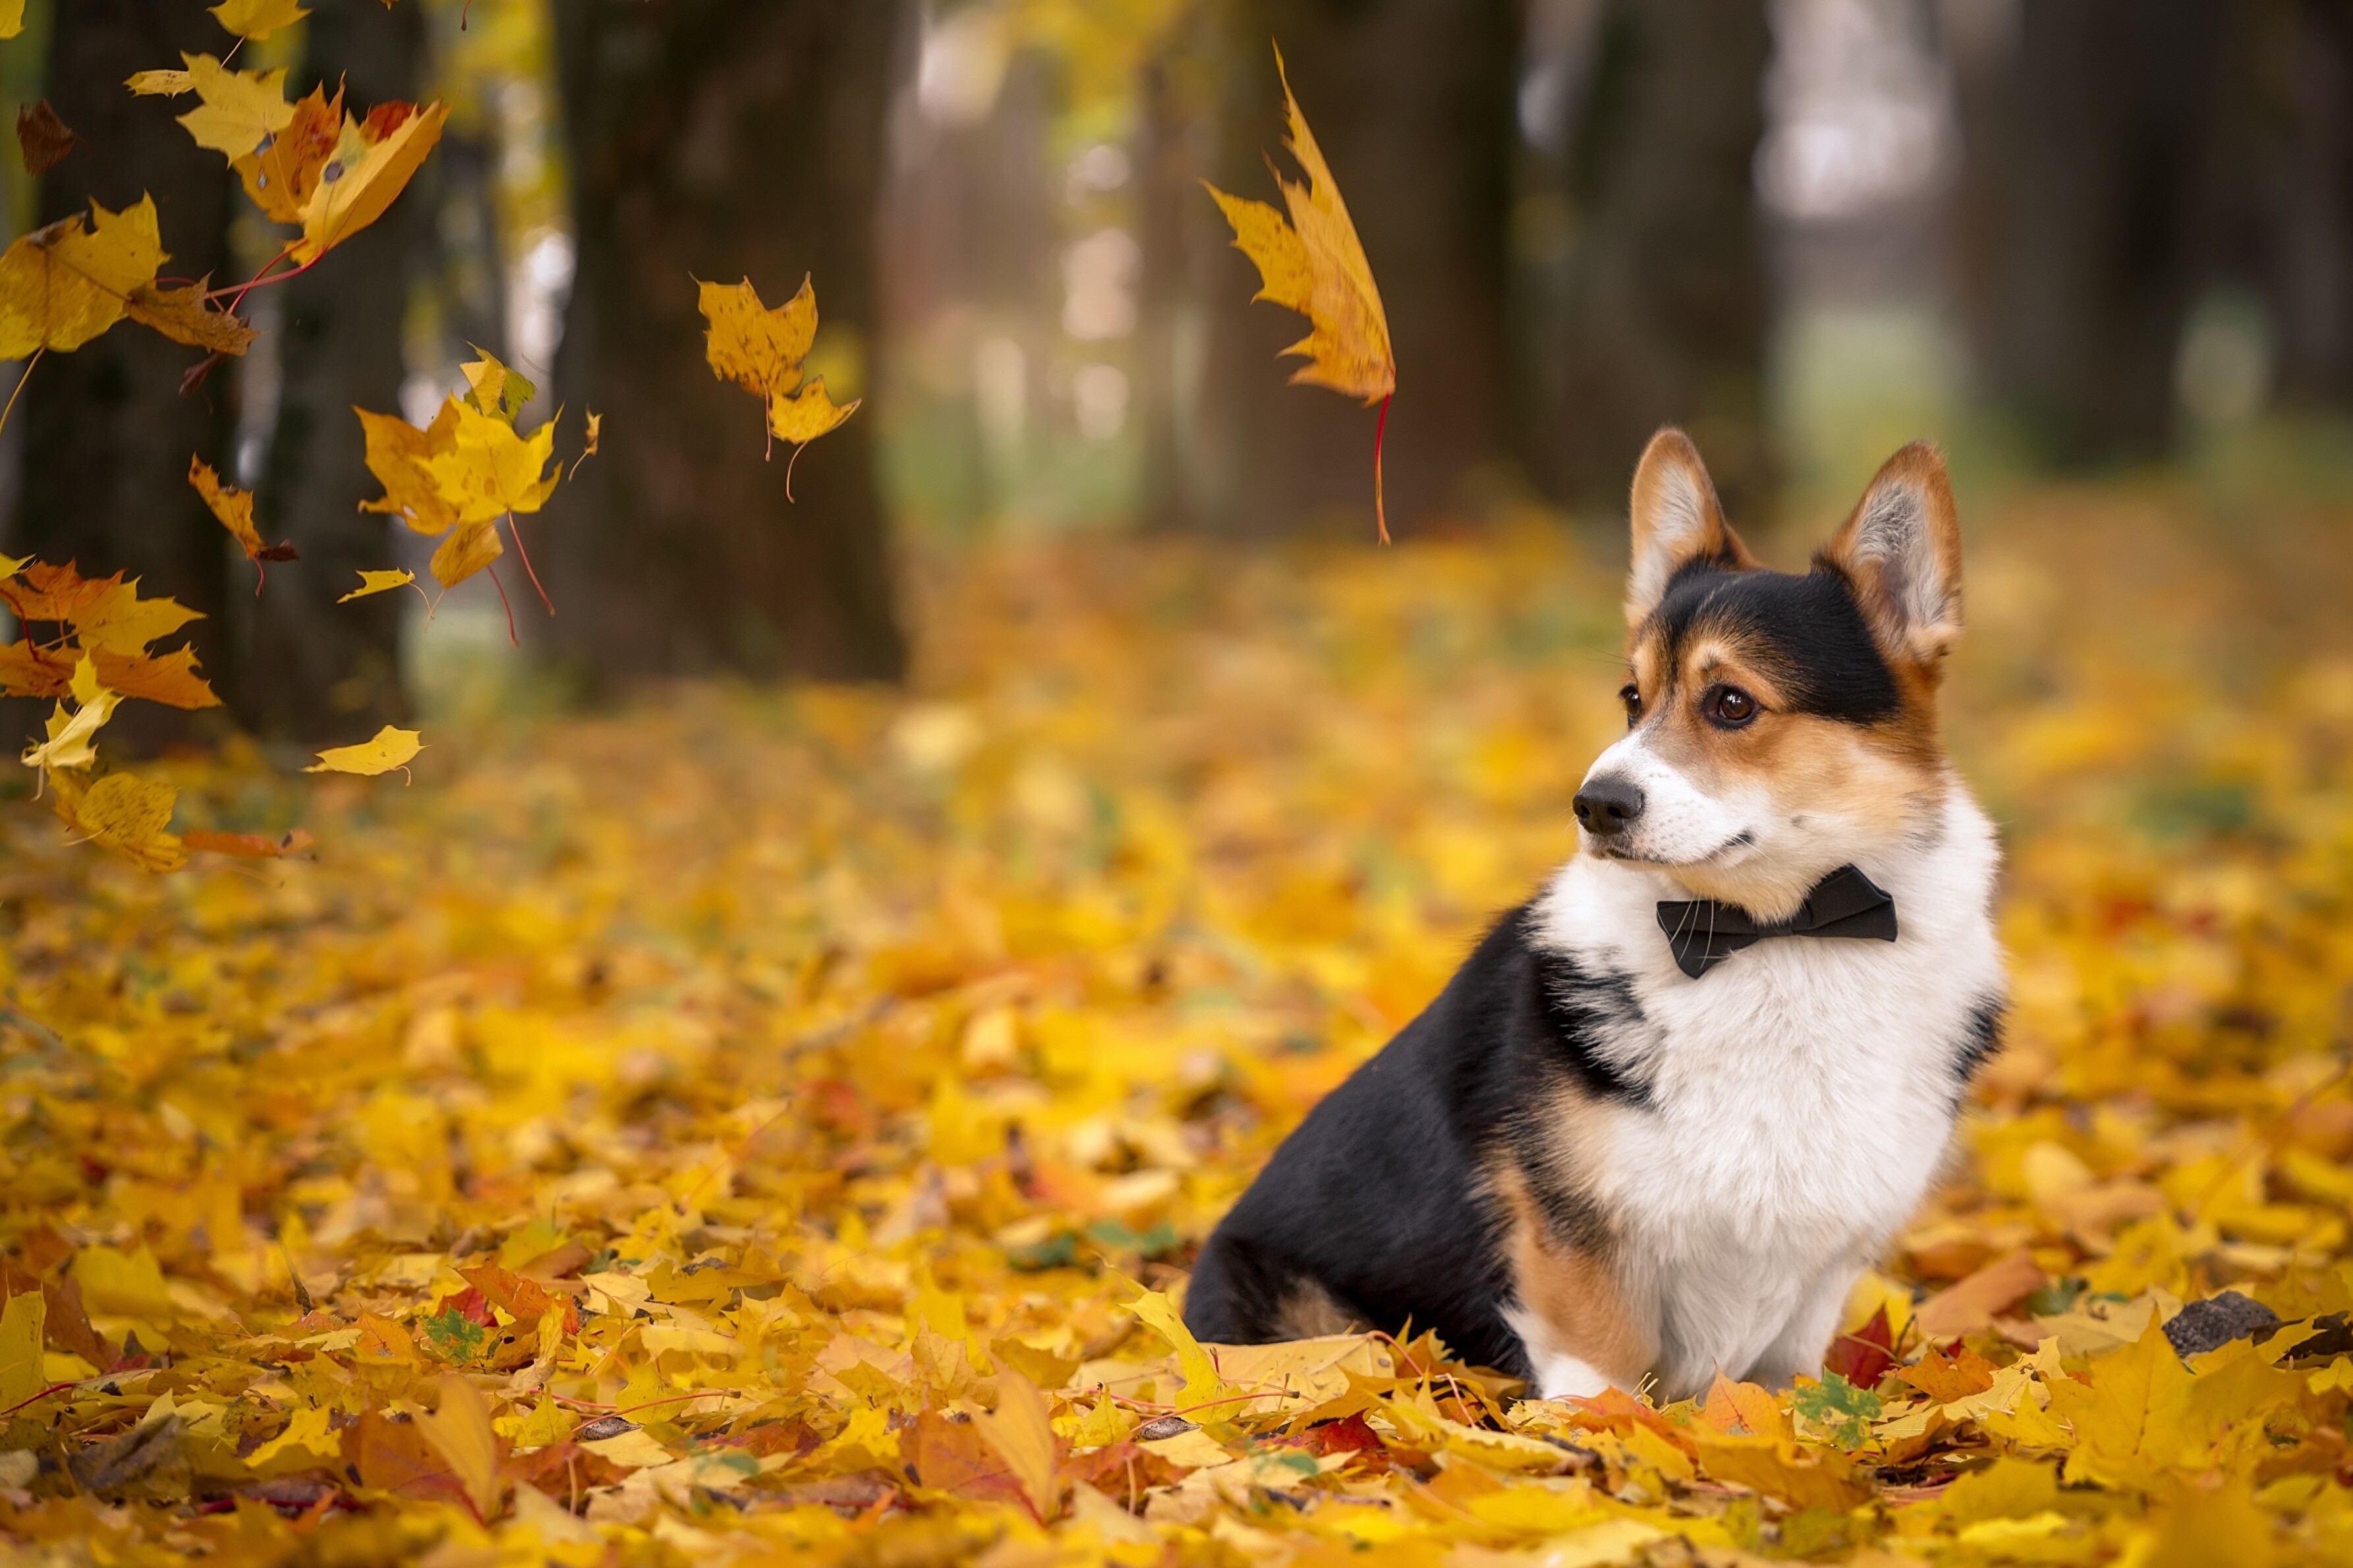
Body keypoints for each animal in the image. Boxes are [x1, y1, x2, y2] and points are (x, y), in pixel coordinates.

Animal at [1195, 433, 2004, 1393]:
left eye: (1731, 702)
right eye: (1631, 699)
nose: (1593, 805)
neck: (1772, 934)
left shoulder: (1823, 1265)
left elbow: (1783, 1384)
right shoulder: (1576, 1234)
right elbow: (1601, 1366)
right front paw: (1600, 1437)